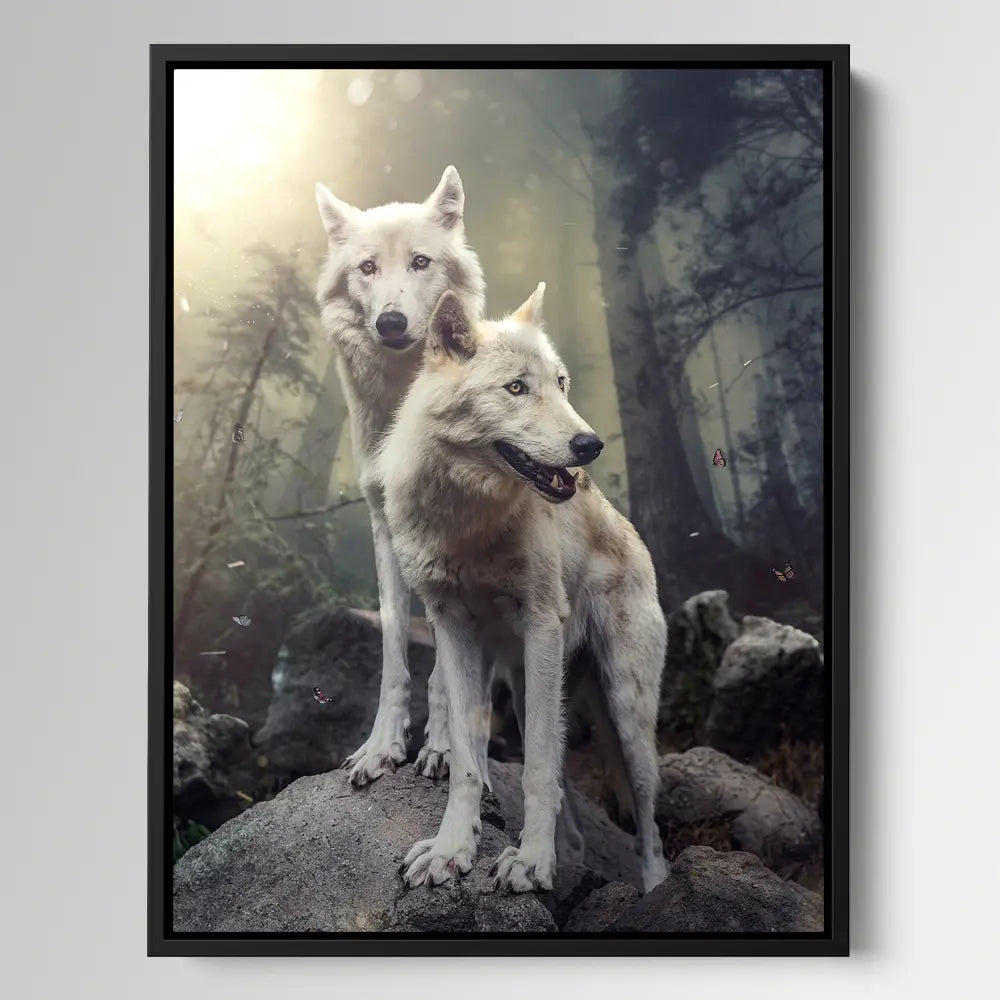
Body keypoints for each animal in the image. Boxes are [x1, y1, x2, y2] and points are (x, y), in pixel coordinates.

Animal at [314, 167, 485, 787]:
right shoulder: (384, 527)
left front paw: (442, 748)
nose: (391, 321)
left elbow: (446, 666)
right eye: (368, 267)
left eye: (419, 261)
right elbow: (393, 651)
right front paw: (380, 747)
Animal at [377, 284, 670, 894]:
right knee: (570, 806)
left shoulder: (540, 624)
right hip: (527, 683)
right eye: (516, 388)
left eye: (560, 383)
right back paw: (570, 855)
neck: (468, 522)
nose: (590, 444)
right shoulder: (452, 629)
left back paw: (656, 889)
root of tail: (631, 532)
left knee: (648, 823)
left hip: (625, 711)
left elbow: (535, 768)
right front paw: (452, 850)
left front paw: (532, 862)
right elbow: (468, 760)